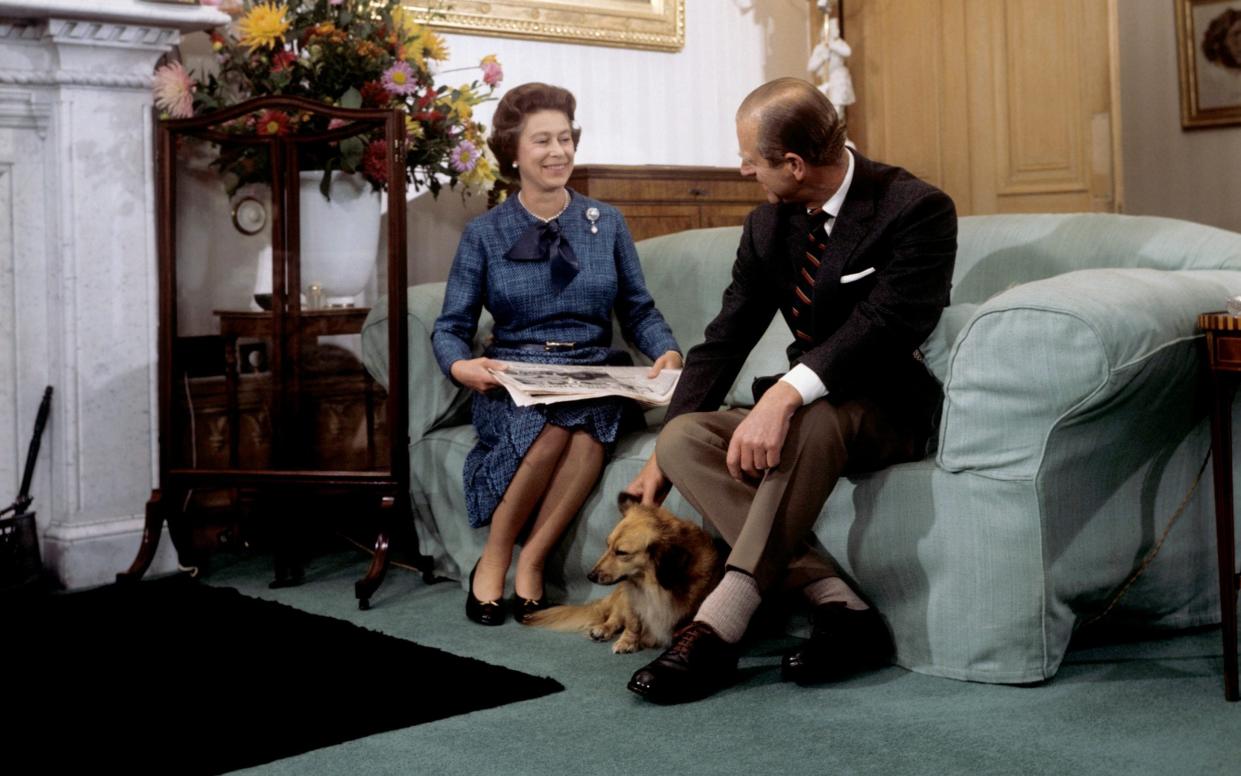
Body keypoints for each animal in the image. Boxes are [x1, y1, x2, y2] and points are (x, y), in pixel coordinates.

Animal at [521, 494, 719, 650]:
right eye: (607, 545)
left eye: (621, 553)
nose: (590, 576)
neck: (653, 586)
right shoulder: (632, 598)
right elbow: (633, 623)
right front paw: (628, 641)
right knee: (615, 617)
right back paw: (603, 629)